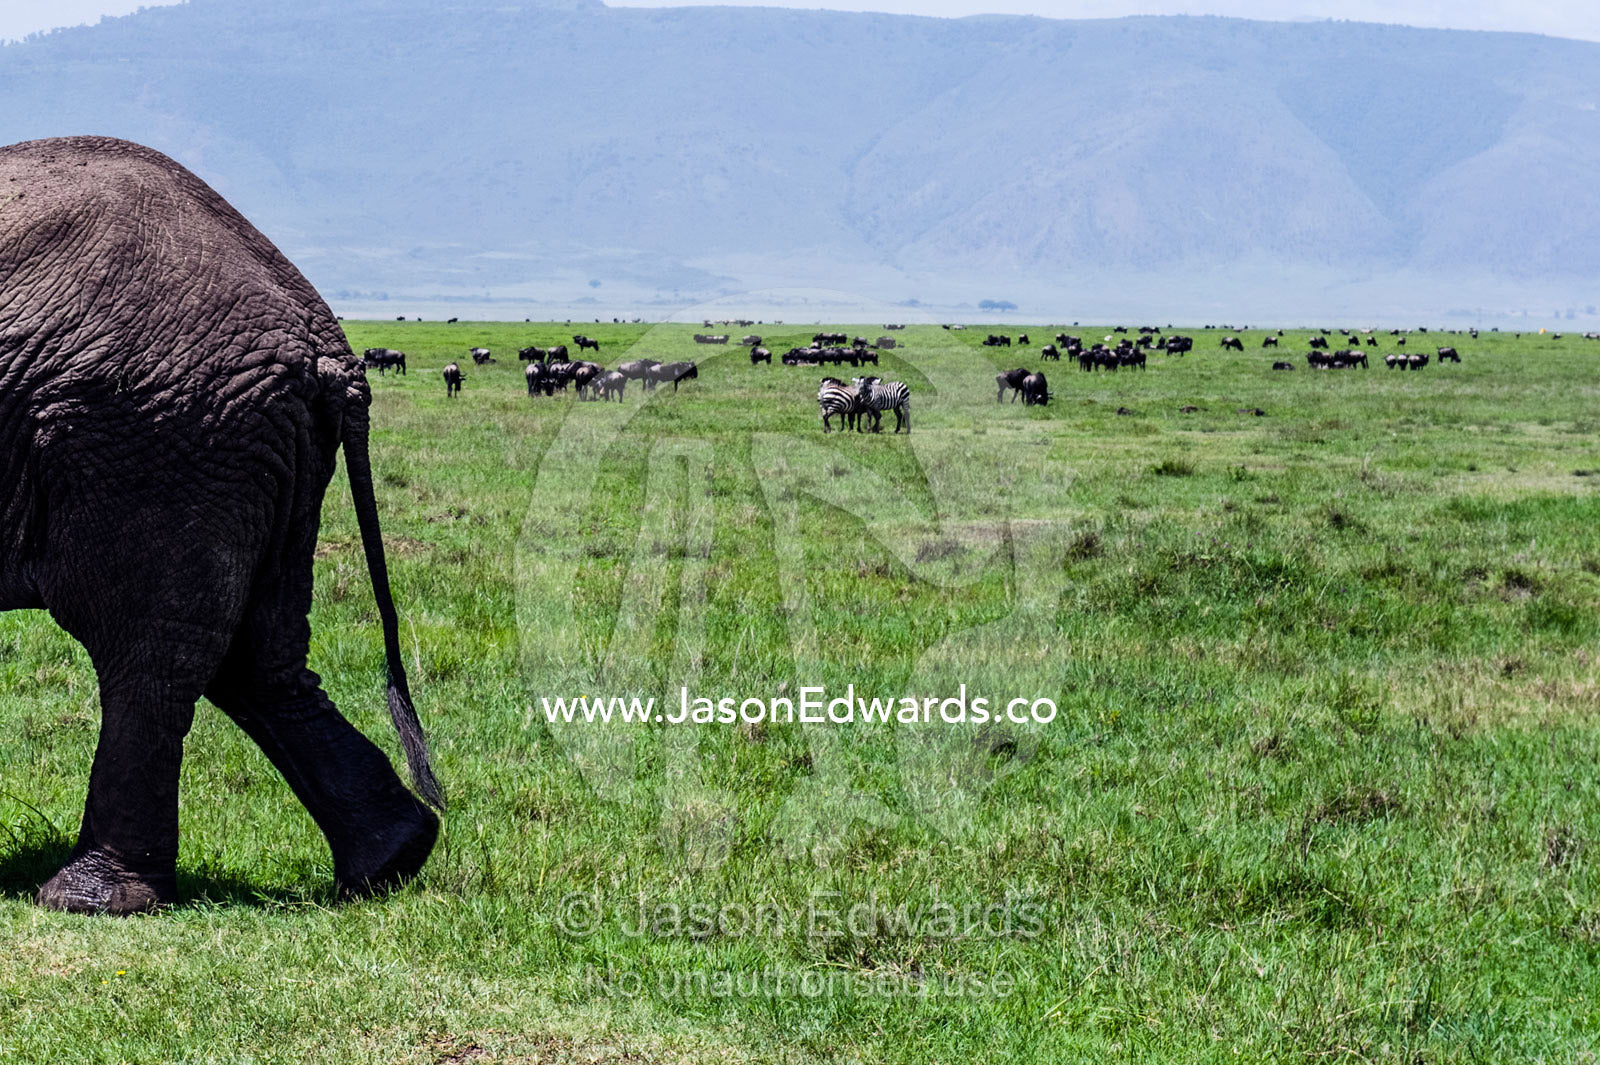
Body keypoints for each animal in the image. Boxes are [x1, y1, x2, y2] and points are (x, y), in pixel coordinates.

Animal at [0, 136, 443, 914]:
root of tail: (322, 336)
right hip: (251, 450)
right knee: (258, 657)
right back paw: (390, 860)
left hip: (160, 433)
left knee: (150, 651)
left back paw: (88, 899)